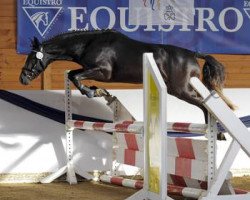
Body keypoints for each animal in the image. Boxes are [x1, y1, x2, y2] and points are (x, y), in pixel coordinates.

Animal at [19, 28, 234, 121]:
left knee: (205, 105)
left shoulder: (103, 72)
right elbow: (73, 74)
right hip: (180, 89)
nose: (23, 79)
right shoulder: (91, 69)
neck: (88, 43)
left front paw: (92, 92)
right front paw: (97, 91)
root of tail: (193, 54)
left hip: (181, 89)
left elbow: (75, 77)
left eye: (32, 58)